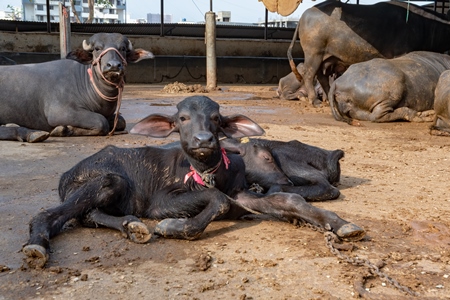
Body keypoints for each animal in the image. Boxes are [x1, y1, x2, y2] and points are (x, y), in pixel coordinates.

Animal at [0, 32, 153, 142]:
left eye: (122, 49)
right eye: (97, 49)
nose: (114, 65)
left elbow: (121, 121)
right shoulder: (60, 113)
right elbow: (101, 122)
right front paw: (63, 130)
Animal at [22, 95, 366, 268]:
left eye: (216, 118)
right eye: (182, 119)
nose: (203, 140)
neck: (209, 174)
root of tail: (67, 174)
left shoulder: (244, 194)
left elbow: (290, 200)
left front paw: (341, 224)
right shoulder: (162, 202)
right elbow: (218, 201)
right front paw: (175, 227)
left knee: (87, 214)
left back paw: (132, 226)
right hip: (107, 180)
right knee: (52, 215)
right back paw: (37, 245)